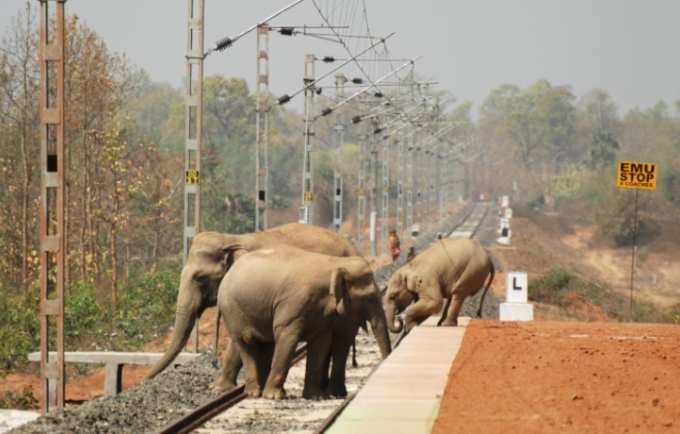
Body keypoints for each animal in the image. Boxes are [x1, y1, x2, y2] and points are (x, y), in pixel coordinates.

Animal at [212, 244, 394, 400]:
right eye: (369, 298)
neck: (333, 263)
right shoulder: (293, 305)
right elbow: (287, 339)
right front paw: (274, 396)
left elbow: (321, 344)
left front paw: (315, 396)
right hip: (233, 309)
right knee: (246, 342)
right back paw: (255, 392)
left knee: (266, 343)